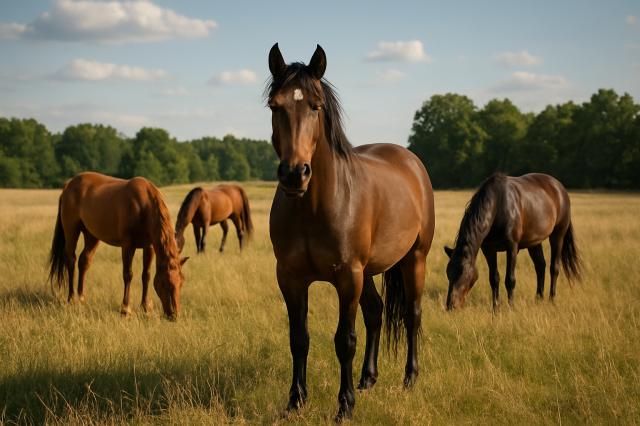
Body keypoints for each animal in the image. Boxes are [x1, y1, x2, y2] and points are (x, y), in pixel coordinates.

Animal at [48, 172, 188, 319]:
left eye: (182, 282)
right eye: (165, 283)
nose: (174, 315)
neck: (143, 206)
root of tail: (68, 184)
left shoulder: (149, 246)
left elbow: (146, 274)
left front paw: (145, 306)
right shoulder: (127, 245)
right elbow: (128, 274)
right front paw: (125, 308)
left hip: (91, 234)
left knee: (84, 261)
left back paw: (81, 297)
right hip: (71, 229)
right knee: (71, 260)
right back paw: (72, 298)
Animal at [266, 43, 435, 420]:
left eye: (316, 106)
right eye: (274, 106)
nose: (294, 174)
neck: (314, 207)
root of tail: (411, 161)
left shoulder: (347, 277)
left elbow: (345, 340)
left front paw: (344, 407)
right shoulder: (290, 278)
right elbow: (298, 338)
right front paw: (295, 402)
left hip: (413, 259)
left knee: (412, 315)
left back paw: (409, 379)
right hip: (369, 271)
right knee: (375, 312)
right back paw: (368, 379)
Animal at [444, 172, 582, 310]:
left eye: (463, 273)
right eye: (448, 273)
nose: (451, 305)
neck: (498, 205)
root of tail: (559, 186)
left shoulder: (512, 247)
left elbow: (510, 279)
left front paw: (511, 307)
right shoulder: (488, 249)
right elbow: (494, 279)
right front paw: (495, 307)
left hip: (558, 235)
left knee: (554, 267)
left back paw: (551, 299)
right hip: (534, 241)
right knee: (540, 265)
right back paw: (539, 299)